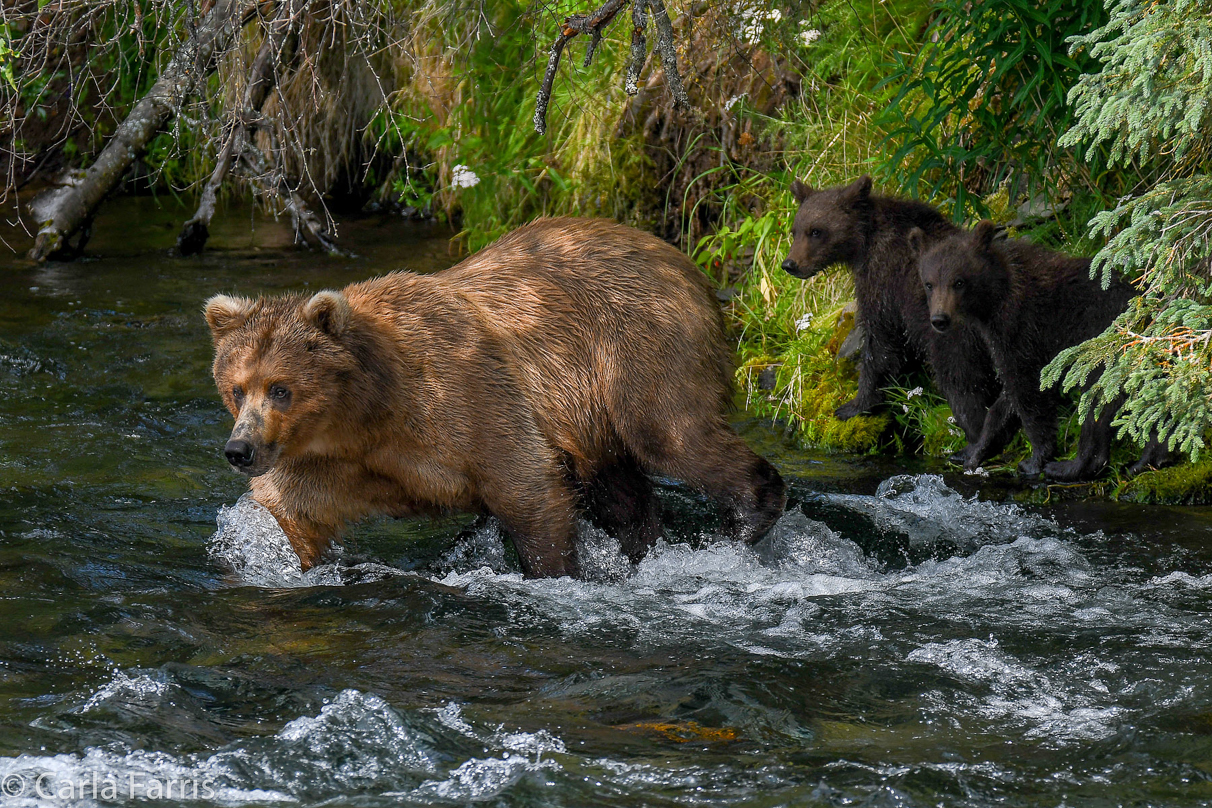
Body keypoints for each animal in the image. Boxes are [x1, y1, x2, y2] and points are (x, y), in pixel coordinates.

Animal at [206, 218, 785, 579]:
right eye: (237, 387)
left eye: (281, 388)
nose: (240, 450)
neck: (370, 412)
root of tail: (683, 260)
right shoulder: (337, 461)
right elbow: (293, 506)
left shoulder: (466, 397)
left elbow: (527, 488)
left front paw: (556, 573)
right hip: (593, 412)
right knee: (619, 486)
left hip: (639, 348)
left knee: (671, 434)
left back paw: (746, 520)